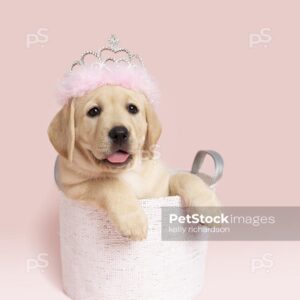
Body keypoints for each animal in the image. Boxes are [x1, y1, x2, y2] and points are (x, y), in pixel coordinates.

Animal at [48, 85, 218, 240]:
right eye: (93, 111)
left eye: (132, 108)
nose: (119, 133)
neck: (128, 171)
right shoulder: (73, 187)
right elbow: (108, 182)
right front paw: (133, 221)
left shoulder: (162, 189)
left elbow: (186, 177)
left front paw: (209, 207)